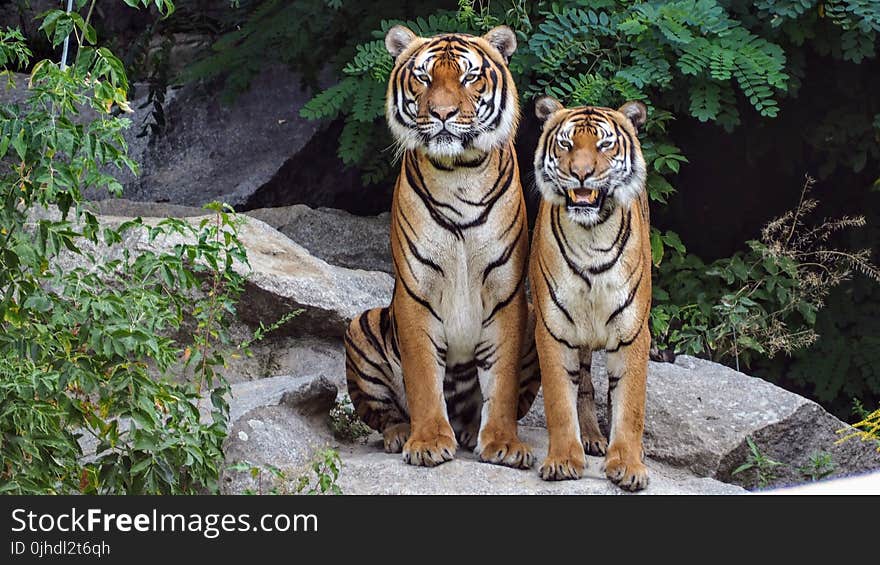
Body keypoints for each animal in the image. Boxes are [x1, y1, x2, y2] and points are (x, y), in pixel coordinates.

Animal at [342, 24, 540, 468]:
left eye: (469, 77)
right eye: (424, 77)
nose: (443, 114)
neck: (459, 172)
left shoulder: (506, 293)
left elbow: (501, 382)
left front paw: (503, 443)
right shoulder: (416, 292)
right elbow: (422, 377)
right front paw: (429, 441)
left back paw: (469, 431)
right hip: (362, 325)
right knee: (384, 413)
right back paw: (401, 433)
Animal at [524, 96, 648, 490]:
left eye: (604, 145)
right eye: (566, 144)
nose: (581, 173)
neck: (592, 235)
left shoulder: (633, 332)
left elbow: (629, 405)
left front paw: (628, 465)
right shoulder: (553, 330)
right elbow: (559, 402)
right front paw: (563, 460)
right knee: (583, 384)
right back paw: (591, 436)